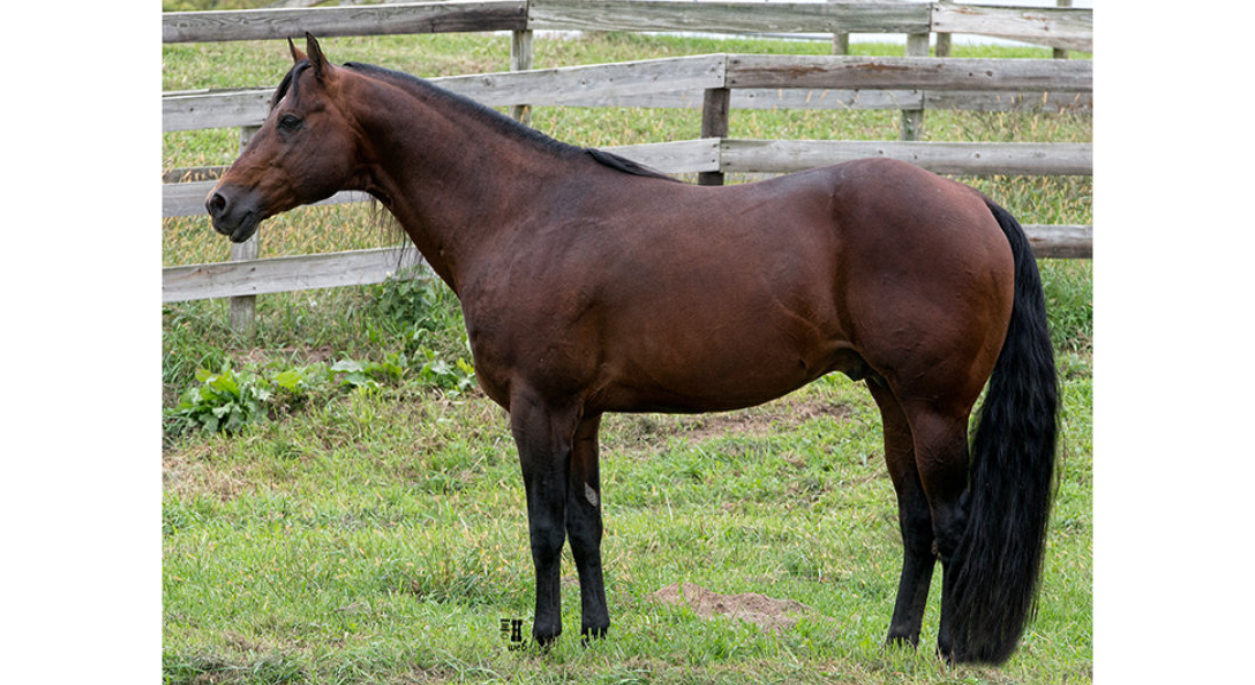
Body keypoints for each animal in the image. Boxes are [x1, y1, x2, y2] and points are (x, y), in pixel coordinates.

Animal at [206, 34, 1058, 664]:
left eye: (289, 122)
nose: (219, 203)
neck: (522, 212)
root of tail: (973, 201)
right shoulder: (580, 413)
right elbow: (586, 524)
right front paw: (594, 631)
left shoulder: (537, 407)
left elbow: (544, 525)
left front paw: (544, 636)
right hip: (891, 401)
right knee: (916, 523)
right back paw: (896, 641)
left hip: (934, 408)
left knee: (953, 524)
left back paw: (947, 647)